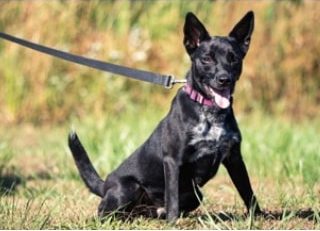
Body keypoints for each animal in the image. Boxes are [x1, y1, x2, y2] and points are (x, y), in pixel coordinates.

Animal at [67, 11, 260, 222]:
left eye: (234, 59)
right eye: (207, 59)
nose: (224, 79)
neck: (209, 112)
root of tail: (105, 185)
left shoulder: (234, 158)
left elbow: (248, 192)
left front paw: (259, 216)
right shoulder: (173, 160)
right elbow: (172, 196)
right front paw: (173, 222)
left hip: (195, 195)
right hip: (128, 187)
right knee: (103, 212)